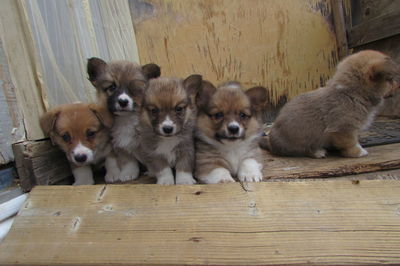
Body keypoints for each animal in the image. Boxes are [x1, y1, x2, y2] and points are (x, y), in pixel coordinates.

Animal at [262, 50, 400, 158]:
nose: (398, 85)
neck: (350, 93)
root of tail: (271, 144)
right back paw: (317, 152)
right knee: (301, 150)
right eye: (390, 80)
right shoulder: (344, 129)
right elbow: (351, 143)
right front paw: (358, 152)